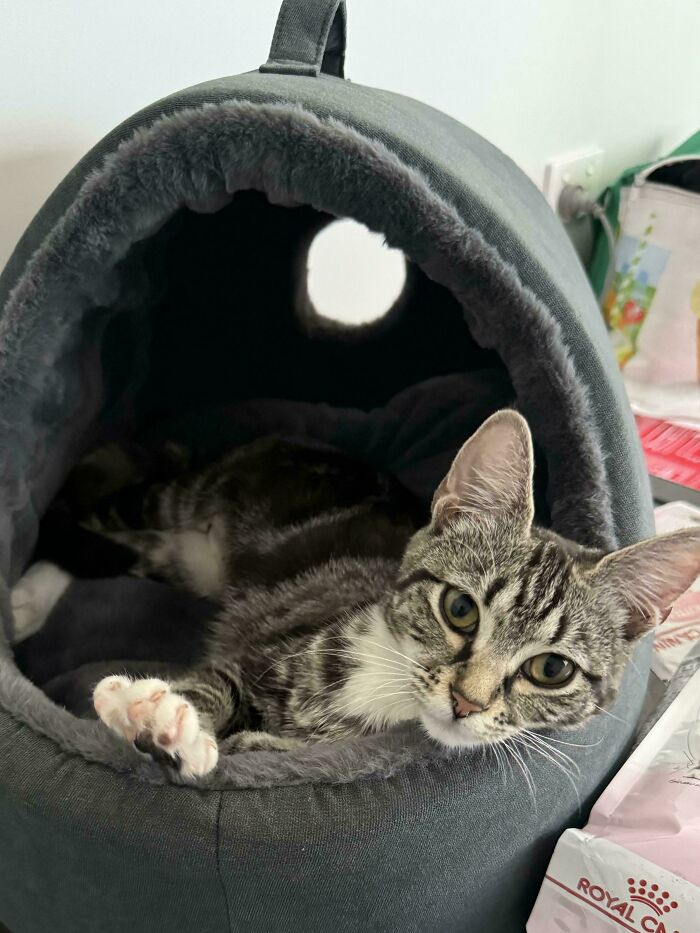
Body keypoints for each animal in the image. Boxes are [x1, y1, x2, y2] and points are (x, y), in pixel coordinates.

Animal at [12, 414, 700, 780]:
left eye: (551, 669)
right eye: (460, 609)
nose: (467, 702)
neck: (386, 686)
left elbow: (260, 742)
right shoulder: (269, 642)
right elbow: (220, 683)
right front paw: (162, 718)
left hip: (183, 562)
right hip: (176, 501)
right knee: (80, 518)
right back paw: (26, 591)